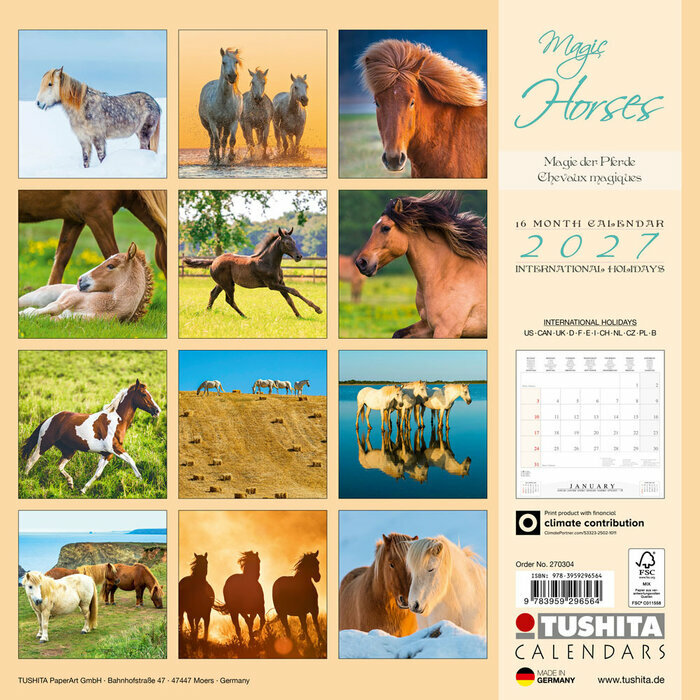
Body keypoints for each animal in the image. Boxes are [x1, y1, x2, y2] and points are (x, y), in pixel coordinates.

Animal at [19, 242, 154, 322]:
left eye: (110, 266)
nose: (80, 280)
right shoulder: (70, 297)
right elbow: (55, 306)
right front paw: (25, 313)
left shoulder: (75, 319)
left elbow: (52, 318)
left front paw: (27, 314)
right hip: (38, 296)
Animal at [21, 379, 161, 494]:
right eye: (144, 394)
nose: (157, 410)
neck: (116, 421)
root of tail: (50, 419)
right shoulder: (114, 448)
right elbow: (131, 461)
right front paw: (142, 482)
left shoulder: (107, 454)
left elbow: (98, 473)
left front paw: (83, 489)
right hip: (44, 443)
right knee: (31, 461)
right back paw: (25, 480)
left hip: (69, 450)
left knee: (59, 465)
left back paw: (70, 483)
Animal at [183, 228, 323, 318]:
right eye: (287, 243)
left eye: (294, 241)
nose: (299, 256)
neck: (268, 262)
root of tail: (214, 261)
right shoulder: (272, 285)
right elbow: (294, 291)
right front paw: (317, 309)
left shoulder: (280, 283)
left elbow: (289, 299)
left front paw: (299, 315)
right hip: (228, 285)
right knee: (229, 300)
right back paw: (244, 316)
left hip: (222, 283)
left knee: (213, 294)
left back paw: (207, 312)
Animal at [355, 191, 486, 338]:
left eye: (385, 228)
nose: (361, 263)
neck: (447, 274)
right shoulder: (427, 325)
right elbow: (398, 334)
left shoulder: (446, 330)